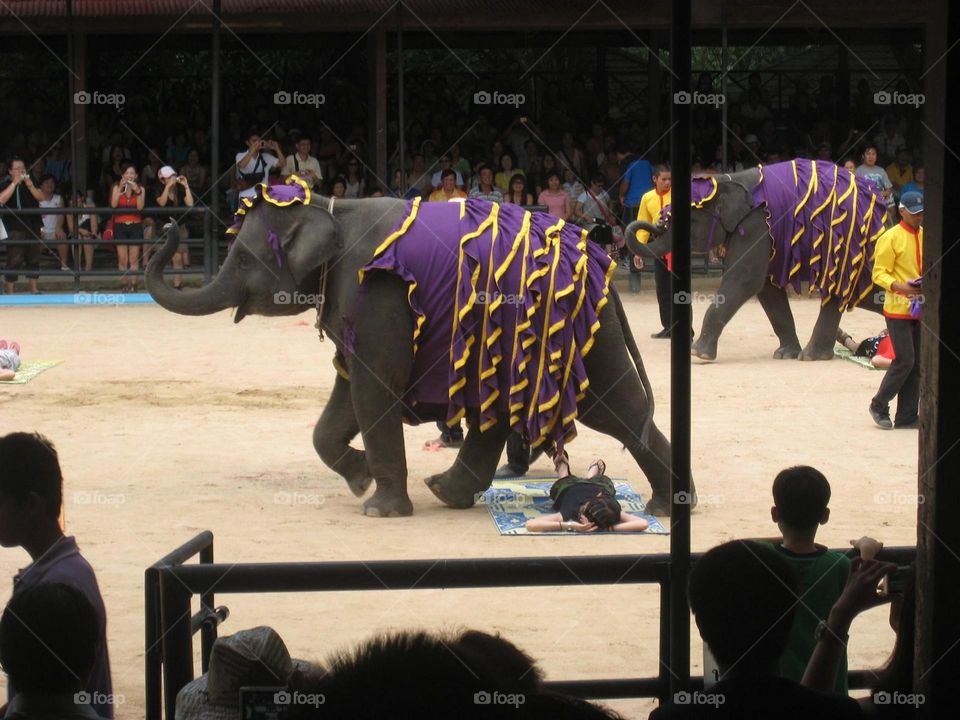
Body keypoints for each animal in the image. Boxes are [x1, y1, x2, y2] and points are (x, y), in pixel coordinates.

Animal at [146, 188, 690, 517]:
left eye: (241, 258)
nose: (170, 223)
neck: (328, 206)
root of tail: (603, 266)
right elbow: (346, 393)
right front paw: (361, 479)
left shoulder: (377, 294)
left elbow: (373, 386)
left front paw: (377, 509)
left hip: (577, 332)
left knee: (613, 407)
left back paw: (668, 507)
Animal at [625, 160, 888, 362]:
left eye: (688, 221)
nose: (656, 222)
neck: (726, 179)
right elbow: (766, 288)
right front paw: (784, 355)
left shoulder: (756, 224)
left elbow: (745, 279)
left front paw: (699, 354)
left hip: (845, 246)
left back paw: (812, 356)